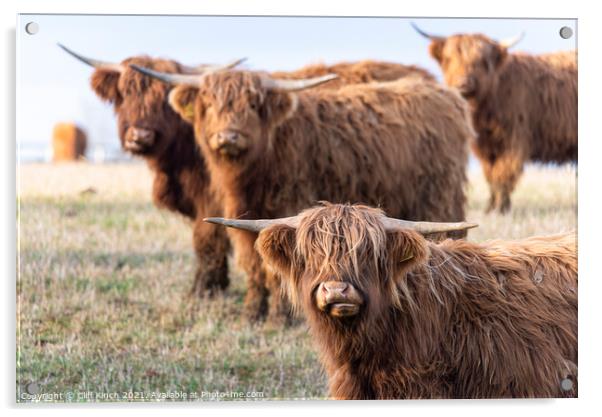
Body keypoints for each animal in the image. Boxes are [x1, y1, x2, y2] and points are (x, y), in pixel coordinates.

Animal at [131, 64, 474, 318]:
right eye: (210, 104)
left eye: (253, 105)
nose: (228, 136)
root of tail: (447, 97)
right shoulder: (243, 215)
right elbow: (254, 264)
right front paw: (252, 313)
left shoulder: (288, 207)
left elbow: (278, 270)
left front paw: (279, 317)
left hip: (439, 198)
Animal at [410, 23, 576, 211]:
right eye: (449, 58)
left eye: (481, 61)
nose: (463, 83)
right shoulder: (485, 147)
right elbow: (490, 175)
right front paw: (490, 207)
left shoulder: (513, 143)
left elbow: (502, 175)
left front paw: (500, 208)